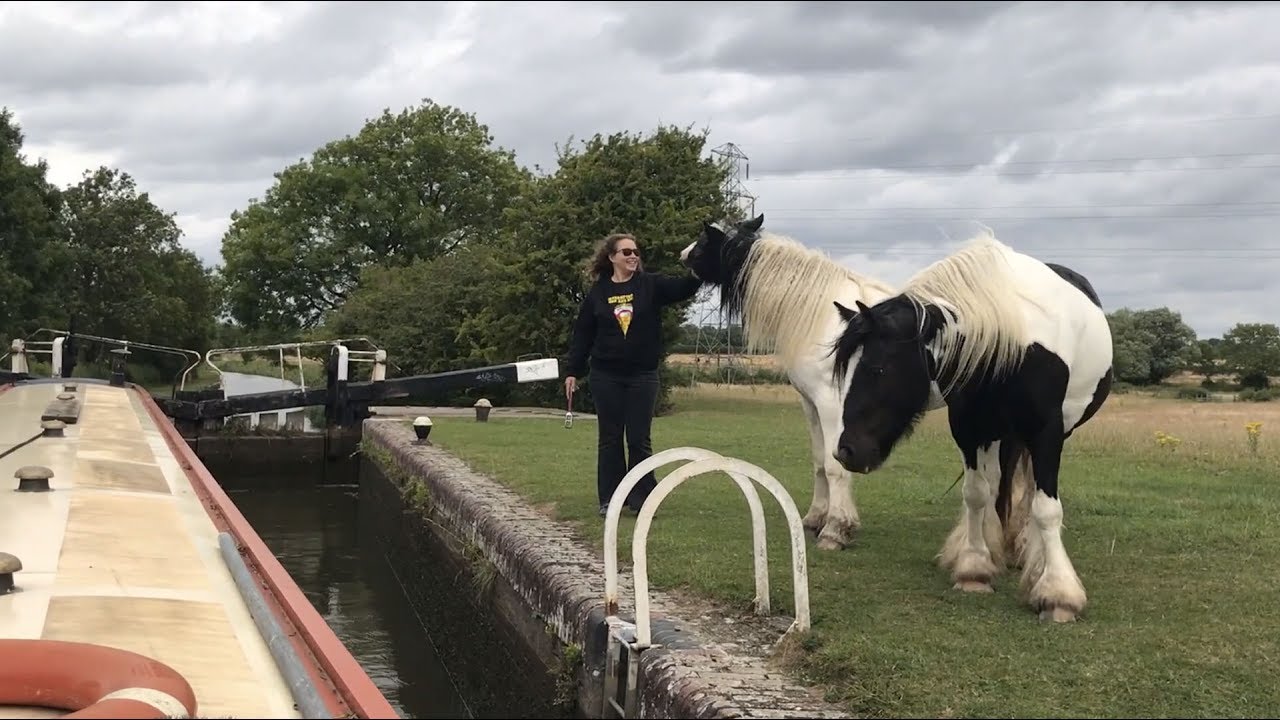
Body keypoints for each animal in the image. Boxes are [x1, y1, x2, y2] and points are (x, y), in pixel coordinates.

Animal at [829, 228, 1111, 617]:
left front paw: (1058, 592)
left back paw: (1029, 552)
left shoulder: (1047, 433)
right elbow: (977, 494)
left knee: (1030, 493)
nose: (846, 452)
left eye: (878, 369)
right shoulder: (968, 429)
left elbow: (1046, 508)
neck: (1012, 345)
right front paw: (975, 568)